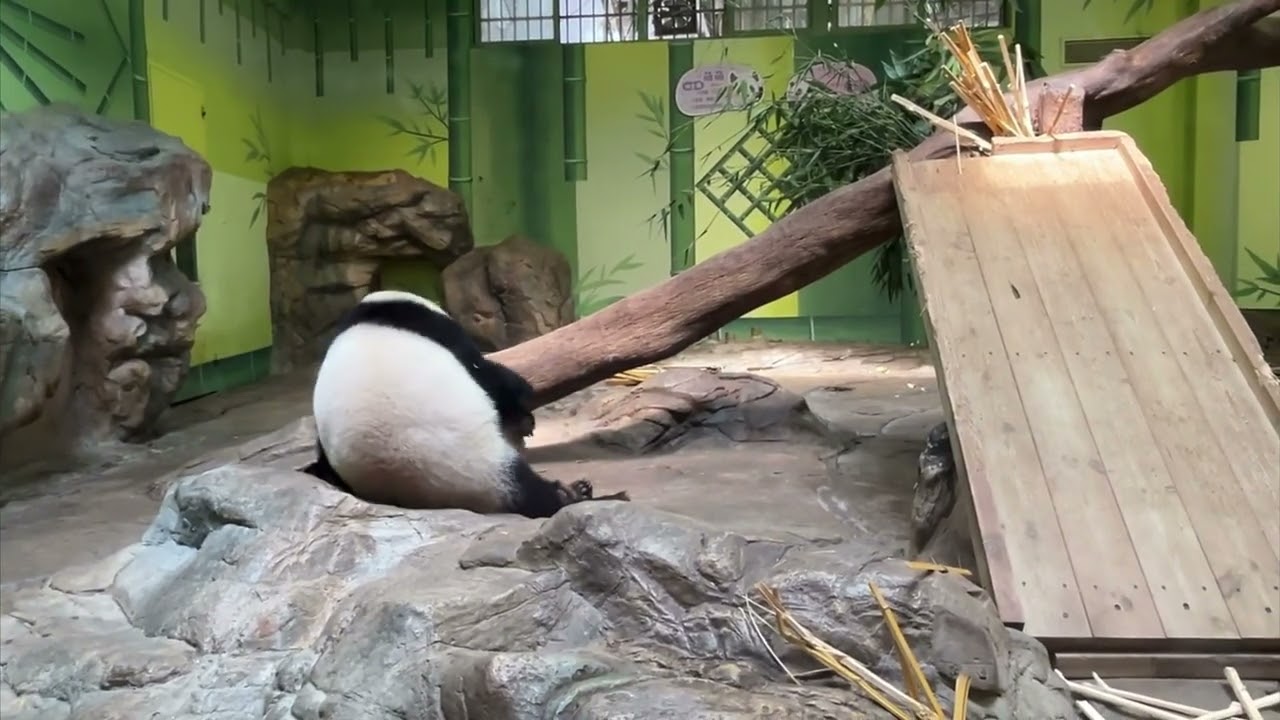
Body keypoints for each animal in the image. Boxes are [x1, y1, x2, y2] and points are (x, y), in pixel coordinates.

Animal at [301, 289, 629, 518]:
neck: (377, 311)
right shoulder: (443, 333)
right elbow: (489, 376)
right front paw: (524, 415)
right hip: (484, 458)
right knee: (529, 488)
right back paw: (572, 493)